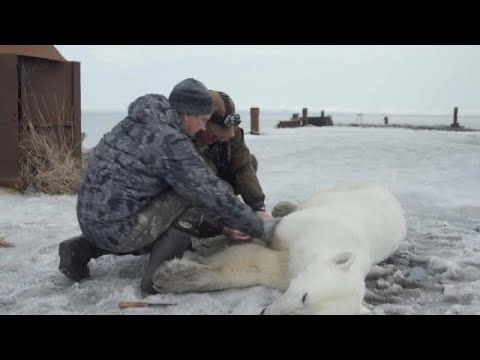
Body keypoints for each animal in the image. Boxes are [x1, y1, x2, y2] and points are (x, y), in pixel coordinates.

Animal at [152, 184, 406, 314]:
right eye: (304, 296)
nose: (265, 312)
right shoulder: (309, 228)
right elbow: (268, 237)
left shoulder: (289, 268)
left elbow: (253, 266)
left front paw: (172, 275)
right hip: (345, 192)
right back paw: (283, 206)